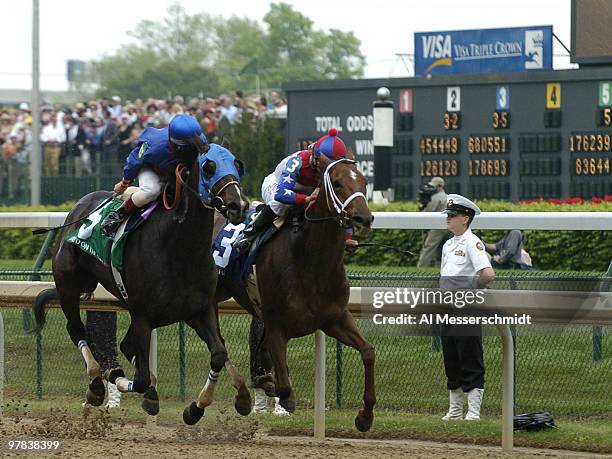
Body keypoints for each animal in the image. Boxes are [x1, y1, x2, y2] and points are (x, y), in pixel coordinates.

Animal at [30, 143, 251, 420]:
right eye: (209, 167)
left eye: (237, 164)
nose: (238, 205)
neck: (180, 249)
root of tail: (77, 209)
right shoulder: (143, 316)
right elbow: (141, 378)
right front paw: (115, 375)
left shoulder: (200, 309)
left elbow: (219, 353)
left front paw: (200, 407)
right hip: (69, 286)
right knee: (76, 329)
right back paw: (96, 383)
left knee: (124, 345)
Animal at [213, 153, 376, 434]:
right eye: (337, 183)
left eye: (364, 182)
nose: (363, 219)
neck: (310, 261)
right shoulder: (276, 324)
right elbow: (285, 388)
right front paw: (272, 388)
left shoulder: (335, 318)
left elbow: (368, 352)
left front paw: (365, 416)